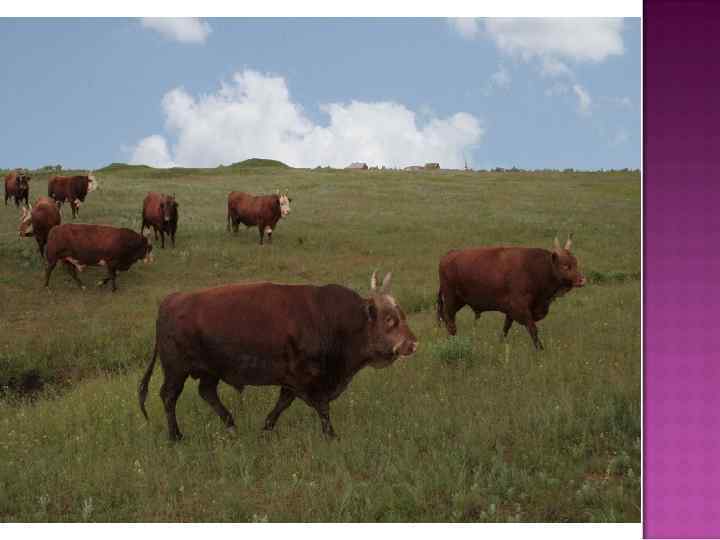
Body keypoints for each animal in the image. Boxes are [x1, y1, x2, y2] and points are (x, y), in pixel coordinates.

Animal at [138, 271, 418, 441]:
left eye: (402, 315)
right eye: (390, 319)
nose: (413, 343)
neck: (333, 320)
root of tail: (171, 301)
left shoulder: (291, 380)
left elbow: (283, 403)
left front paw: (266, 428)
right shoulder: (305, 378)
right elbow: (321, 407)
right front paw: (331, 436)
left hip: (210, 370)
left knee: (207, 393)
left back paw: (231, 425)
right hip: (176, 370)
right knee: (169, 397)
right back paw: (176, 436)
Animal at [437, 235, 586, 350]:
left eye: (576, 263)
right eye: (565, 266)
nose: (582, 280)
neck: (535, 268)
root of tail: (448, 255)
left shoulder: (511, 310)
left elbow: (506, 327)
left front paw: (500, 342)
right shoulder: (520, 307)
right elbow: (533, 328)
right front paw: (540, 349)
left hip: (459, 301)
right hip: (451, 299)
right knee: (450, 321)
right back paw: (453, 341)